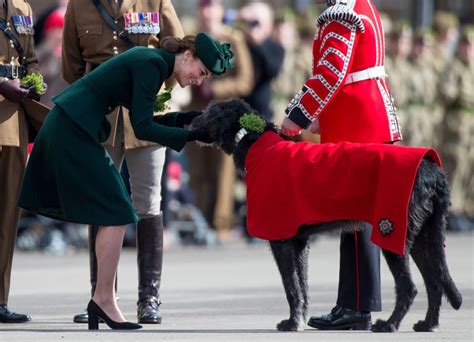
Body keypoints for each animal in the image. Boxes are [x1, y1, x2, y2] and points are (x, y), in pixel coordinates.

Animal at [190, 98, 462, 332]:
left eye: (209, 111)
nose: (190, 121)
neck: (255, 141)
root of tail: (433, 171)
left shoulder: (281, 240)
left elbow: (291, 287)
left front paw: (292, 323)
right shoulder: (300, 243)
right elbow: (302, 286)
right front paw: (298, 320)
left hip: (392, 233)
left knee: (410, 288)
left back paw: (389, 325)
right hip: (422, 237)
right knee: (435, 283)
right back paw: (428, 324)